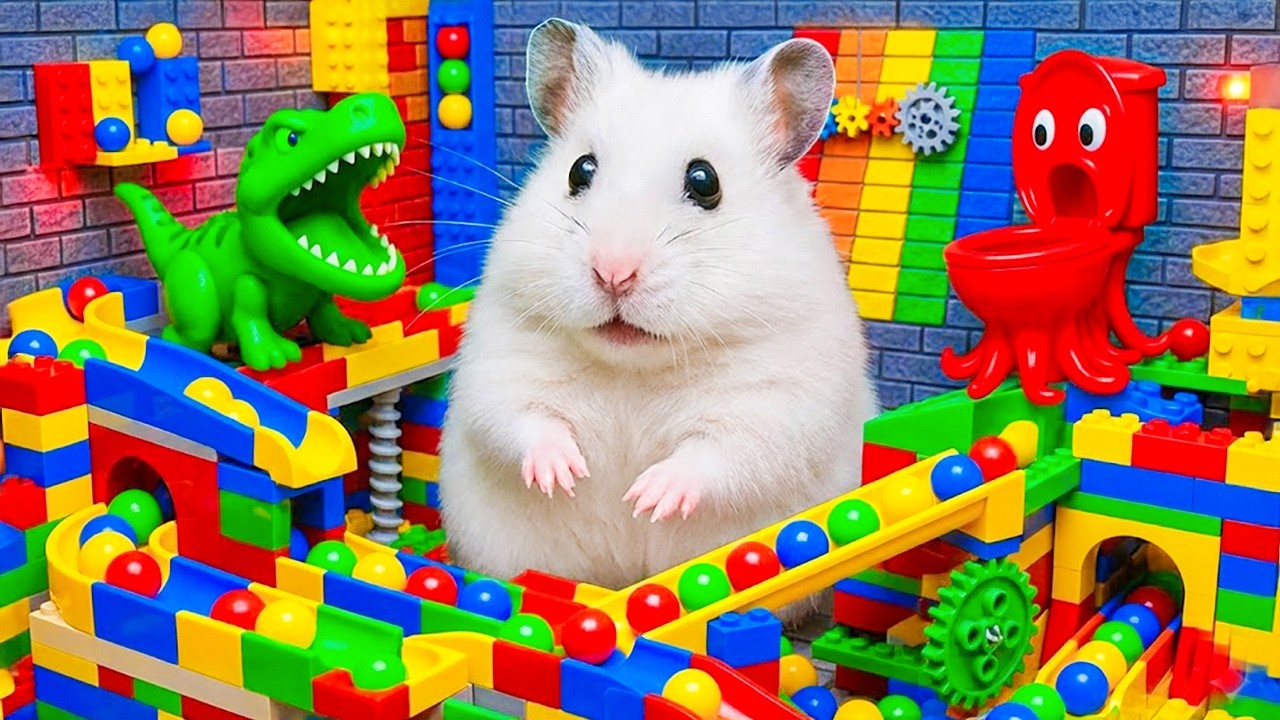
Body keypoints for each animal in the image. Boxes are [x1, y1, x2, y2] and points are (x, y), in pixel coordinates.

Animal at [437, 19, 878, 590]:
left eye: (705, 180)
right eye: (579, 171)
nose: (613, 272)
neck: (635, 368)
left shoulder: (776, 402)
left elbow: (719, 454)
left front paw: (644, 496)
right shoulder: (502, 357)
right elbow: (523, 420)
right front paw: (567, 474)